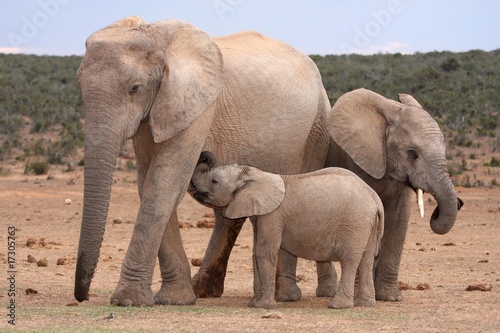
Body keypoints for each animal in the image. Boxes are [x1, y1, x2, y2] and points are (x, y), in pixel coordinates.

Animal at [74, 16, 334, 304]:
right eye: (79, 85)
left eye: (135, 88)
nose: (83, 296)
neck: (157, 38)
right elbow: (150, 182)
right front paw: (175, 300)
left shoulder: (196, 106)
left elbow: (163, 182)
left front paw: (129, 300)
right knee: (228, 213)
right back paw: (205, 290)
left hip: (318, 127)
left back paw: (286, 296)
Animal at [189, 151, 384, 308]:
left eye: (214, 181)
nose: (206, 156)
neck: (255, 174)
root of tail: (375, 199)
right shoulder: (262, 215)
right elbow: (255, 253)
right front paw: (253, 304)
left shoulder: (273, 215)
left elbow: (264, 252)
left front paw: (264, 307)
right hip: (366, 224)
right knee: (366, 259)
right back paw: (365, 304)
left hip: (354, 223)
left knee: (350, 259)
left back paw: (337, 306)